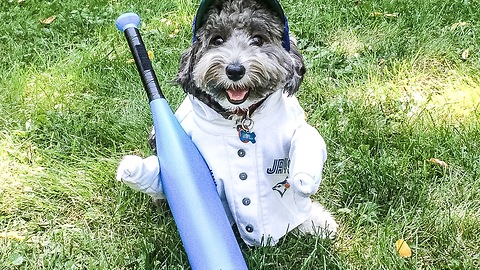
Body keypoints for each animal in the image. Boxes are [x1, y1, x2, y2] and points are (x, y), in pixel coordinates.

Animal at [116, 0, 338, 246]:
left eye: (258, 39)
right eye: (217, 40)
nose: (234, 70)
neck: (240, 118)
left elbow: (306, 142)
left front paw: (312, 216)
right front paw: (136, 171)